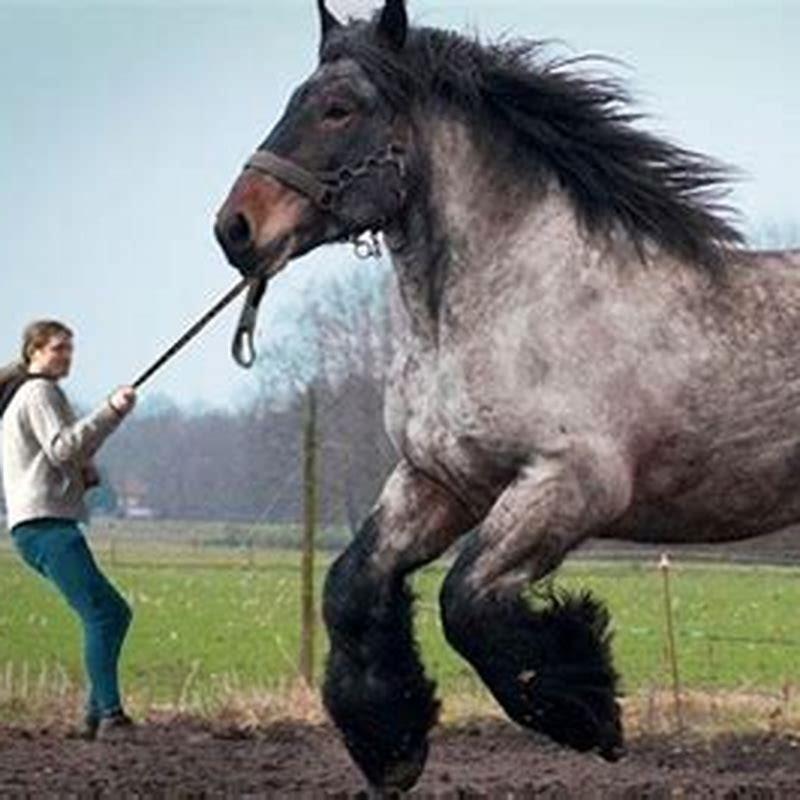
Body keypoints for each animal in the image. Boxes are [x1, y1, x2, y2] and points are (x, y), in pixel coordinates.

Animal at [215, 0, 800, 791]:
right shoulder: (438, 480)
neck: (516, 300)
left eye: (339, 108)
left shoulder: (570, 484)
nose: (236, 229)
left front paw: (587, 713)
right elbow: (352, 584)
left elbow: (465, 600)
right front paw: (390, 743)